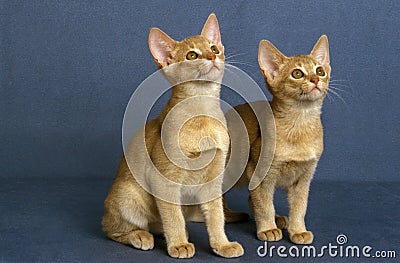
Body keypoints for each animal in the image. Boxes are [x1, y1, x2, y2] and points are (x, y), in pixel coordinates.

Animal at [101, 13, 244, 258]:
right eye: (192, 55)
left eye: (214, 48)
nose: (212, 56)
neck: (202, 114)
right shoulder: (163, 180)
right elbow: (173, 216)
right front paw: (178, 245)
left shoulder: (214, 180)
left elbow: (216, 216)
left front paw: (222, 245)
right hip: (127, 195)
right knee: (112, 228)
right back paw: (141, 235)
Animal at [231, 35, 332, 245]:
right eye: (297, 73)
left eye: (320, 70)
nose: (315, 79)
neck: (301, 124)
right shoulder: (258, 174)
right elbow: (264, 205)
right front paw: (268, 229)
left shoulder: (304, 178)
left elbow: (300, 207)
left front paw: (298, 231)